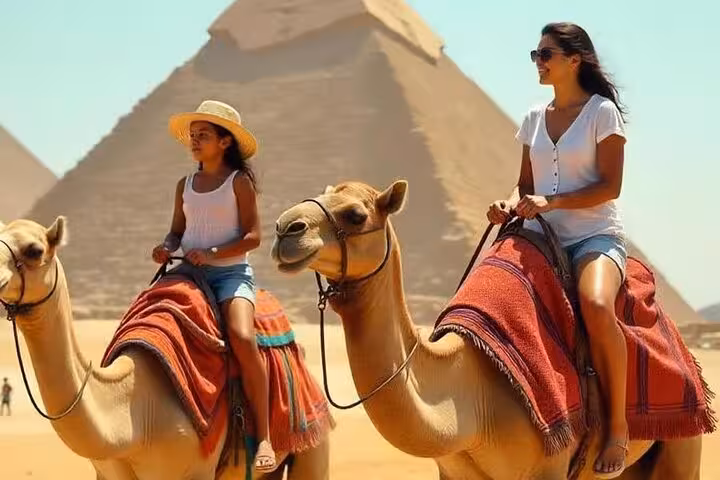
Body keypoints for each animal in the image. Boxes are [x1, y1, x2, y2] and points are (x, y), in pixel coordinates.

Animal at [270, 179, 705, 480]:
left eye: (356, 215)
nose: (284, 229)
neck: (469, 395)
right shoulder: (452, 472)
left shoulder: (549, 465)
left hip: (682, 445)